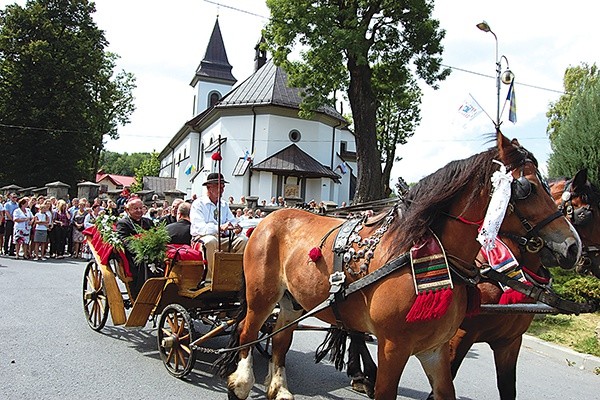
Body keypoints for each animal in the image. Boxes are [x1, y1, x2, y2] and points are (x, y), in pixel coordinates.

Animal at [218, 132, 580, 400]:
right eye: (526, 188)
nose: (572, 245)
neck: (424, 257)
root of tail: (268, 218)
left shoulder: (435, 349)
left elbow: (446, 391)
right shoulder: (394, 348)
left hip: (293, 301)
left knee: (280, 340)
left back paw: (279, 388)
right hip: (262, 296)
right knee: (247, 331)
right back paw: (241, 384)